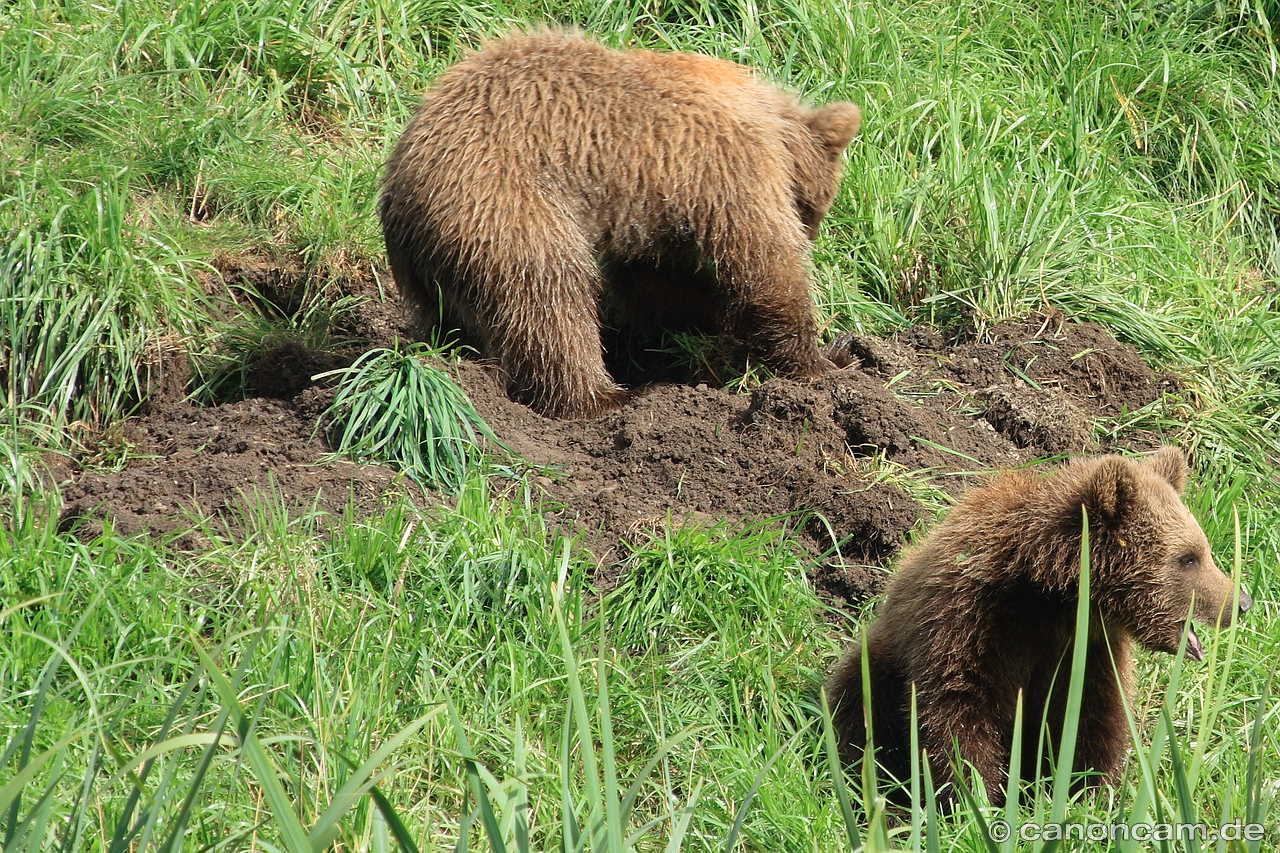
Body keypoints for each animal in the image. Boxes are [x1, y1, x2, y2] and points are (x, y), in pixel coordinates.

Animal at [378, 31, 860, 417]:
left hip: (442, 254)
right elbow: (764, 262)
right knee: (550, 299)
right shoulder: (721, 166)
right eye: (813, 210)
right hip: (505, 205)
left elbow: (659, 287)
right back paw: (606, 396)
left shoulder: (653, 208)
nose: (812, 233)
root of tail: (403, 187)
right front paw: (829, 359)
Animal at [824, 445, 1254, 804]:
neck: (1052, 598)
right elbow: (958, 712)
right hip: (880, 663)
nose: (1242, 603)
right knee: (861, 707)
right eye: (1188, 558)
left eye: (1203, 550)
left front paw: (1092, 793)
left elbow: (1092, 719)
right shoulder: (968, 623)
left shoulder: (1087, 651)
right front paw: (977, 797)